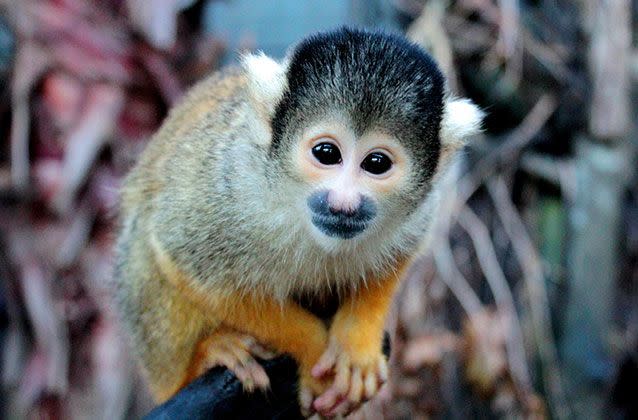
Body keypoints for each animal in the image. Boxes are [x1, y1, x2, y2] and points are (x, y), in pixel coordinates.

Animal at [115, 27, 484, 416]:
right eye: (327, 153)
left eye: (377, 163)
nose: (343, 204)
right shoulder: (230, 187)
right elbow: (187, 265)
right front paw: (313, 352)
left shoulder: (419, 210)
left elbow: (396, 258)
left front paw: (356, 345)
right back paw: (202, 359)